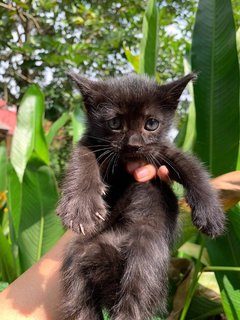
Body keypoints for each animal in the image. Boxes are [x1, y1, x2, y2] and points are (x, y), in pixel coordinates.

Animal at [57, 73, 225, 320]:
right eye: (115, 123)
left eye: (151, 124)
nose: (133, 144)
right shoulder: (90, 143)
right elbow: (82, 158)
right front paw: (81, 207)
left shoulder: (164, 150)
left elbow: (193, 169)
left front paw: (210, 214)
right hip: (79, 254)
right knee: (80, 299)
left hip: (147, 250)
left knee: (135, 293)